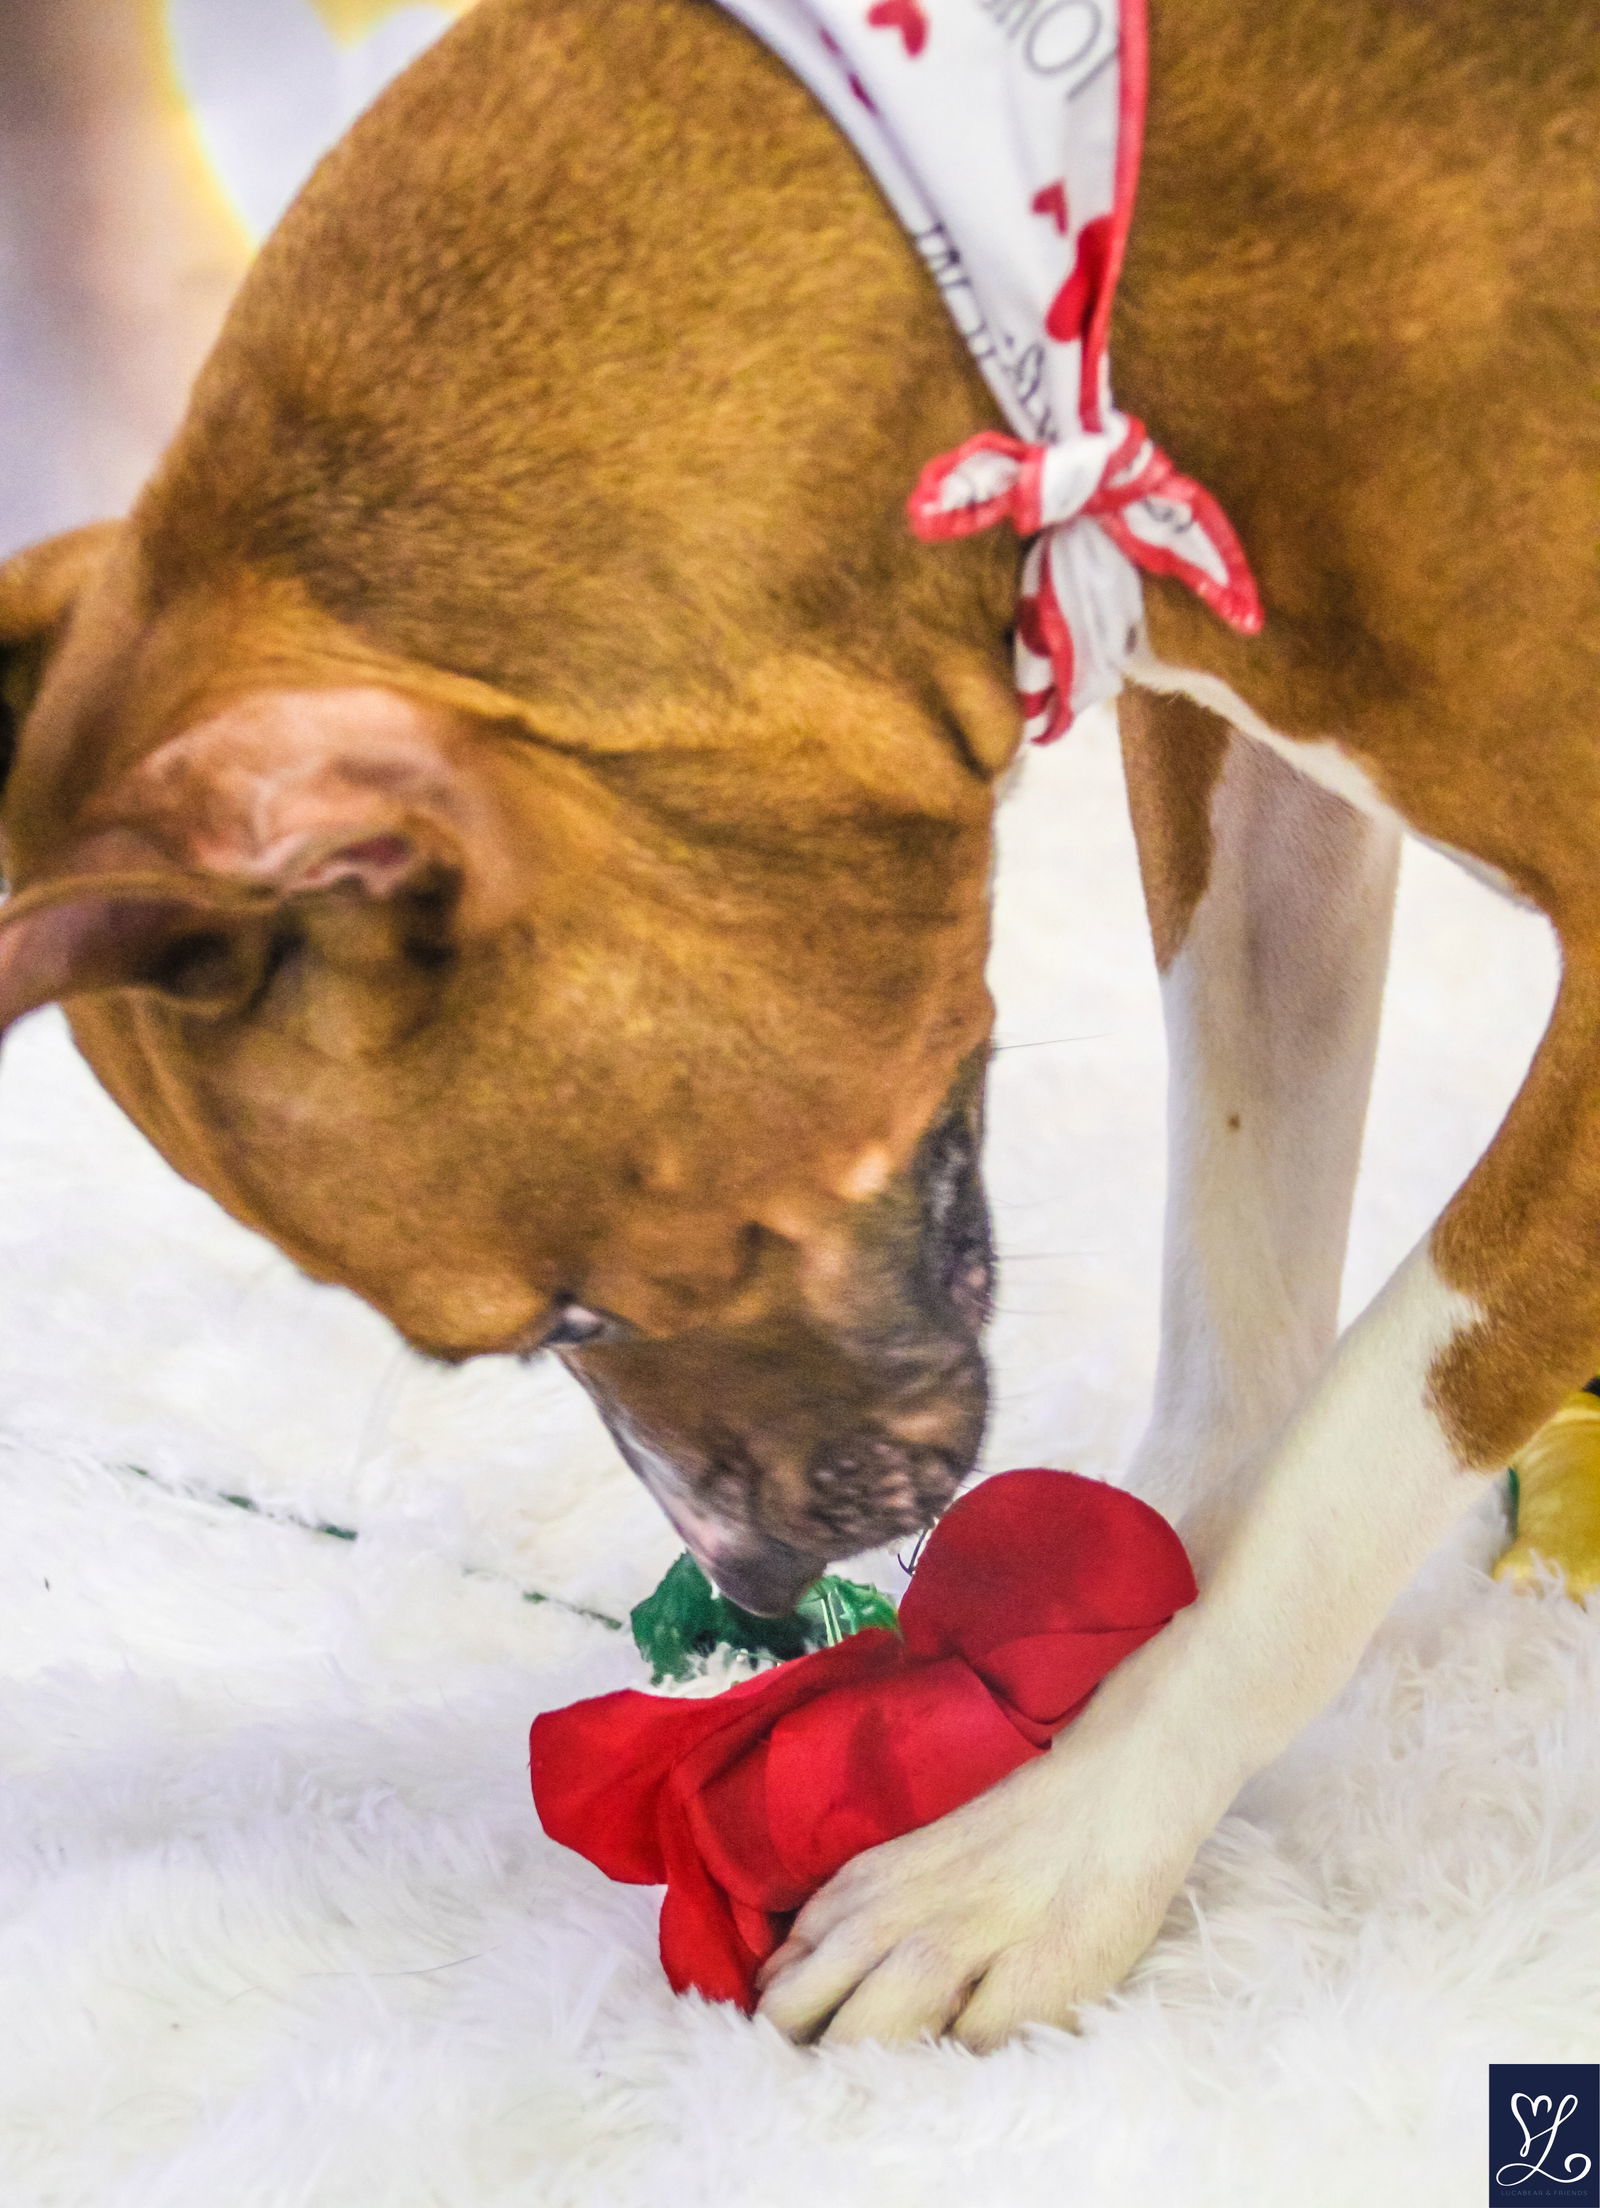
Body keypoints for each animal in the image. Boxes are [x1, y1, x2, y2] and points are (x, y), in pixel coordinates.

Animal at [3, 0, 1597, 2049]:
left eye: (567, 1316)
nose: (746, 1580)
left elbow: (1353, 1461)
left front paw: (1055, 1852)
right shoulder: (1245, 767)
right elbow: (1239, 1284)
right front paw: (1085, 1665)